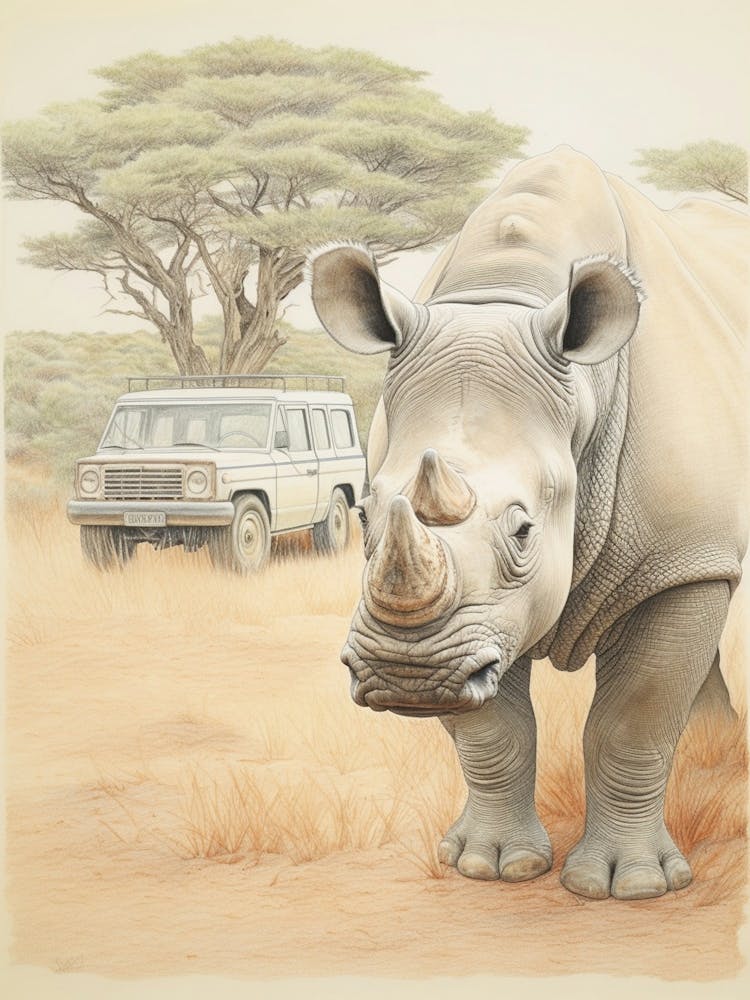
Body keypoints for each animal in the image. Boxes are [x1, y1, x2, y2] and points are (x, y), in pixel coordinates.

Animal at [308, 146, 748, 900]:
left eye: (523, 530)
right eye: (363, 516)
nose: (407, 675)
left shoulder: (679, 558)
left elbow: (634, 719)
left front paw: (628, 886)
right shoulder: (473, 624)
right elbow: (492, 731)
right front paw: (491, 866)